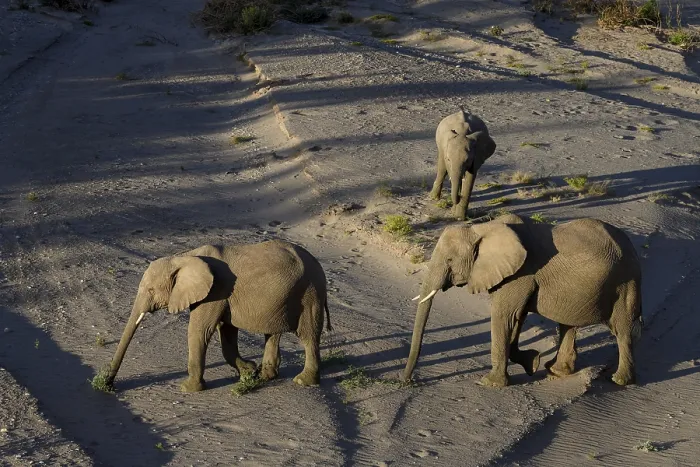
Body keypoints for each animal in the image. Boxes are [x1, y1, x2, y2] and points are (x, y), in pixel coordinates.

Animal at [104, 239, 331, 392]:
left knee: (308, 336)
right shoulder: (223, 295)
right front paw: (248, 371)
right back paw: (266, 376)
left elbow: (199, 330)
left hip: (310, 294)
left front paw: (187, 388)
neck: (184, 256)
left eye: (151, 290)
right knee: (273, 333)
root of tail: (318, 265)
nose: (108, 384)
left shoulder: (216, 291)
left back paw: (303, 381)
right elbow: (227, 332)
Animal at [403, 214, 643, 388]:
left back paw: (620, 381)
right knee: (567, 324)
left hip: (626, 281)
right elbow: (517, 317)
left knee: (623, 330)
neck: (483, 228)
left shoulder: (521, 274)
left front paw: (490, 384)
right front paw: (532, 363)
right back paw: (556, 371)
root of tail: (631, 246)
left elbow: (504, 315)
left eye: (450, 260)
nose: (407, 382)